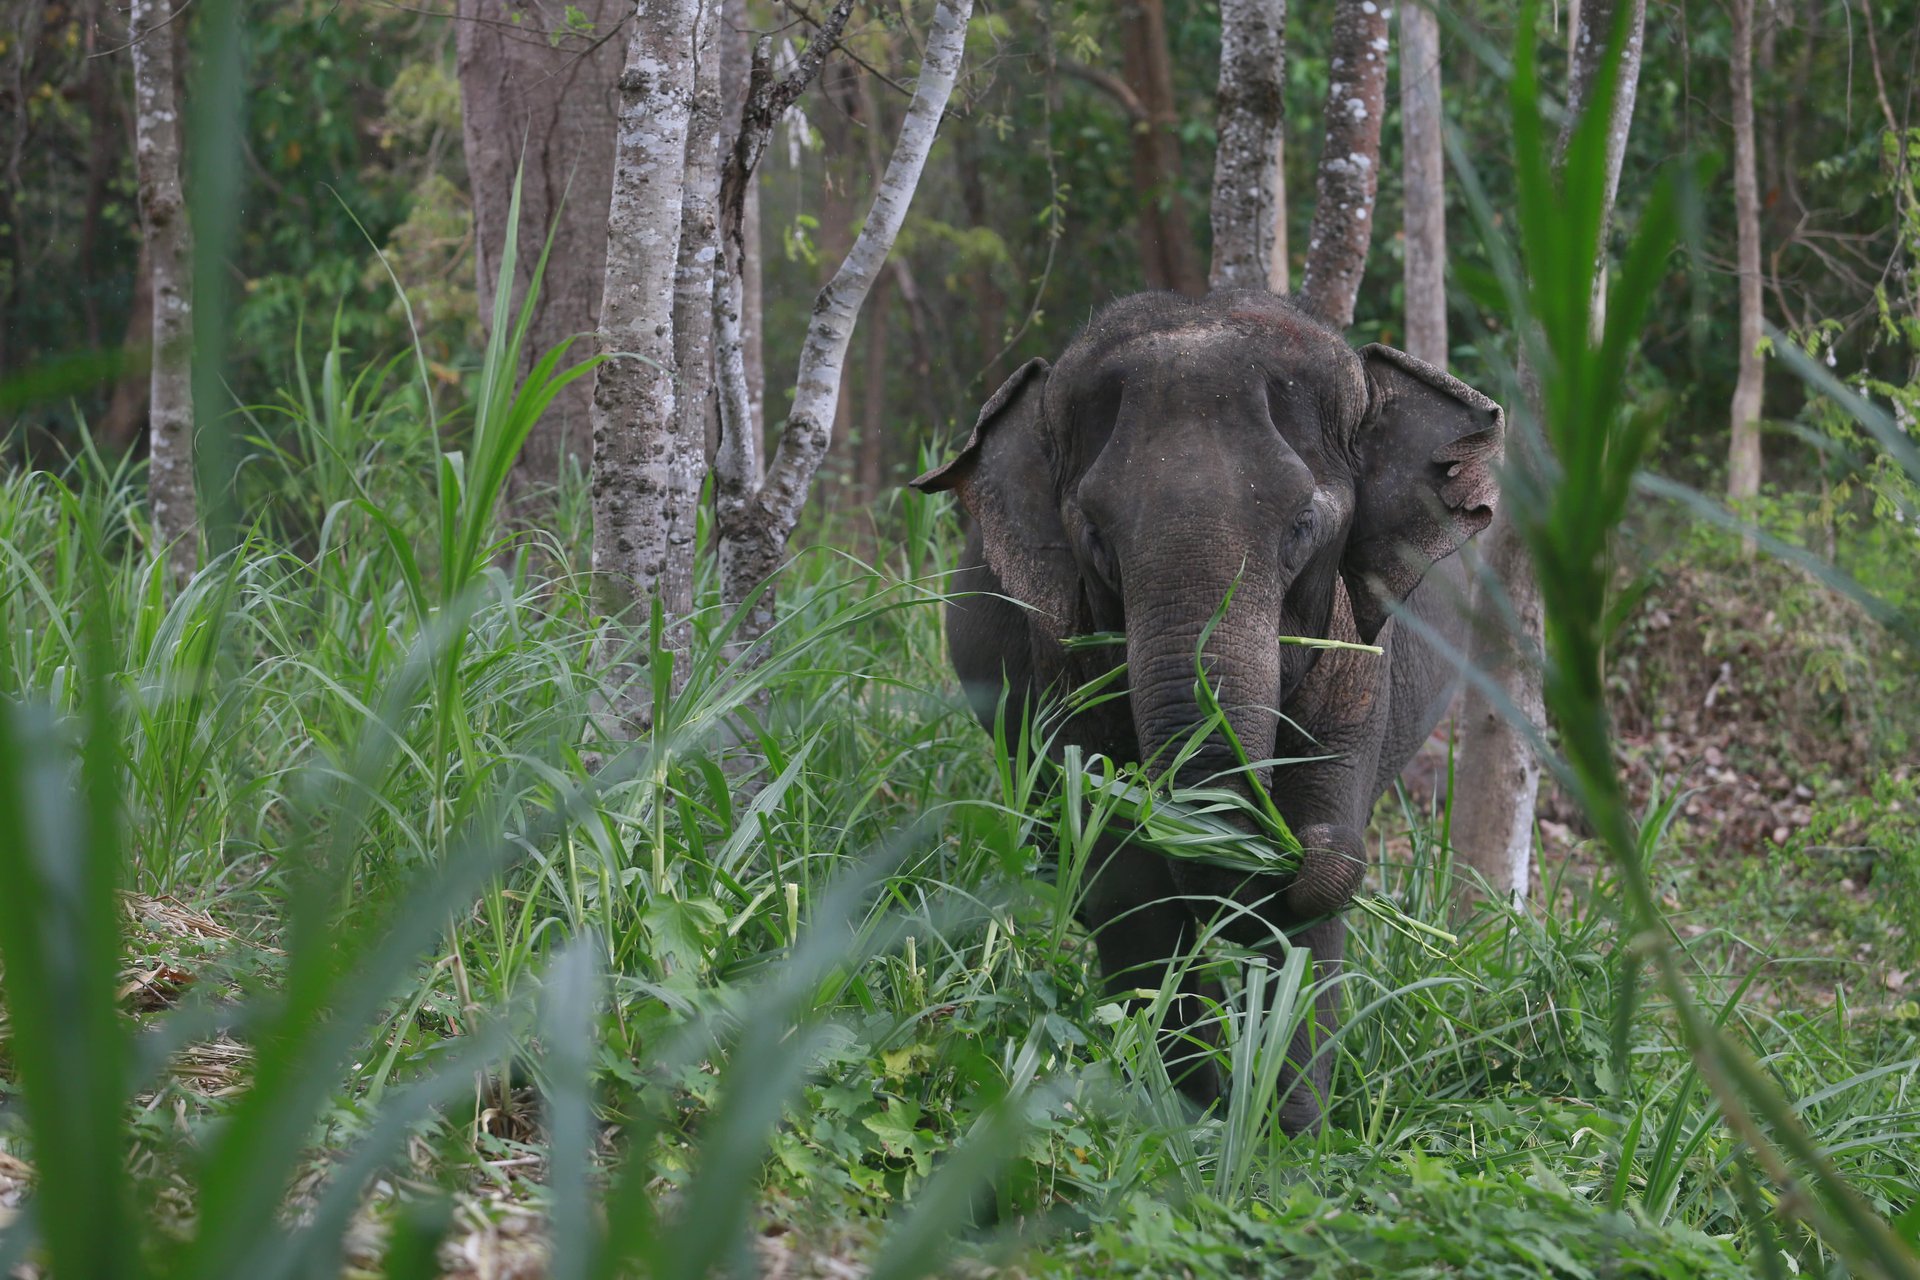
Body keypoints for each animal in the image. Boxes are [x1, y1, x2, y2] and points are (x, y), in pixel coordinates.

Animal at [910, 289, 1503, 1134]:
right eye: (1095, 536)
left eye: (1303, 527)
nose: (1272, 852)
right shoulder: (1052, 670)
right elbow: (1125, 888)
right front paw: (1188, 1114)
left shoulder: (1360, 667)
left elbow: (1315, 897)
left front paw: (1287, 1138)